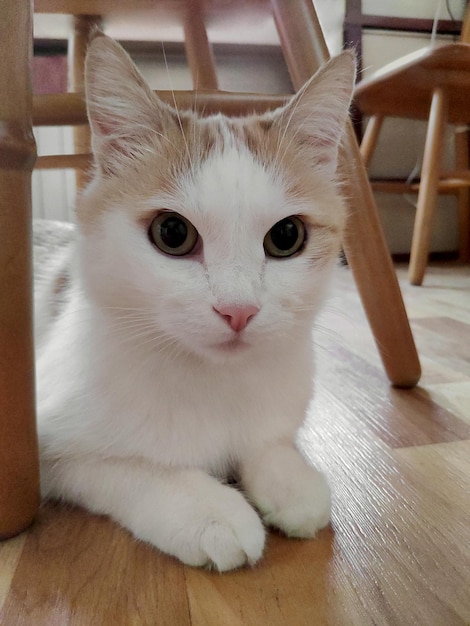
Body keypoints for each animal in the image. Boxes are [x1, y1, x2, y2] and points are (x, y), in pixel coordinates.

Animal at [33, 35, 354, 572]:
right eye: (172, 233)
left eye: (287, 236)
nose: (238, 310)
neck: (215, 386)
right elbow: (122, 466)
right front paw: (206, 507)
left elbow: (268, 441)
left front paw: (291, 481)